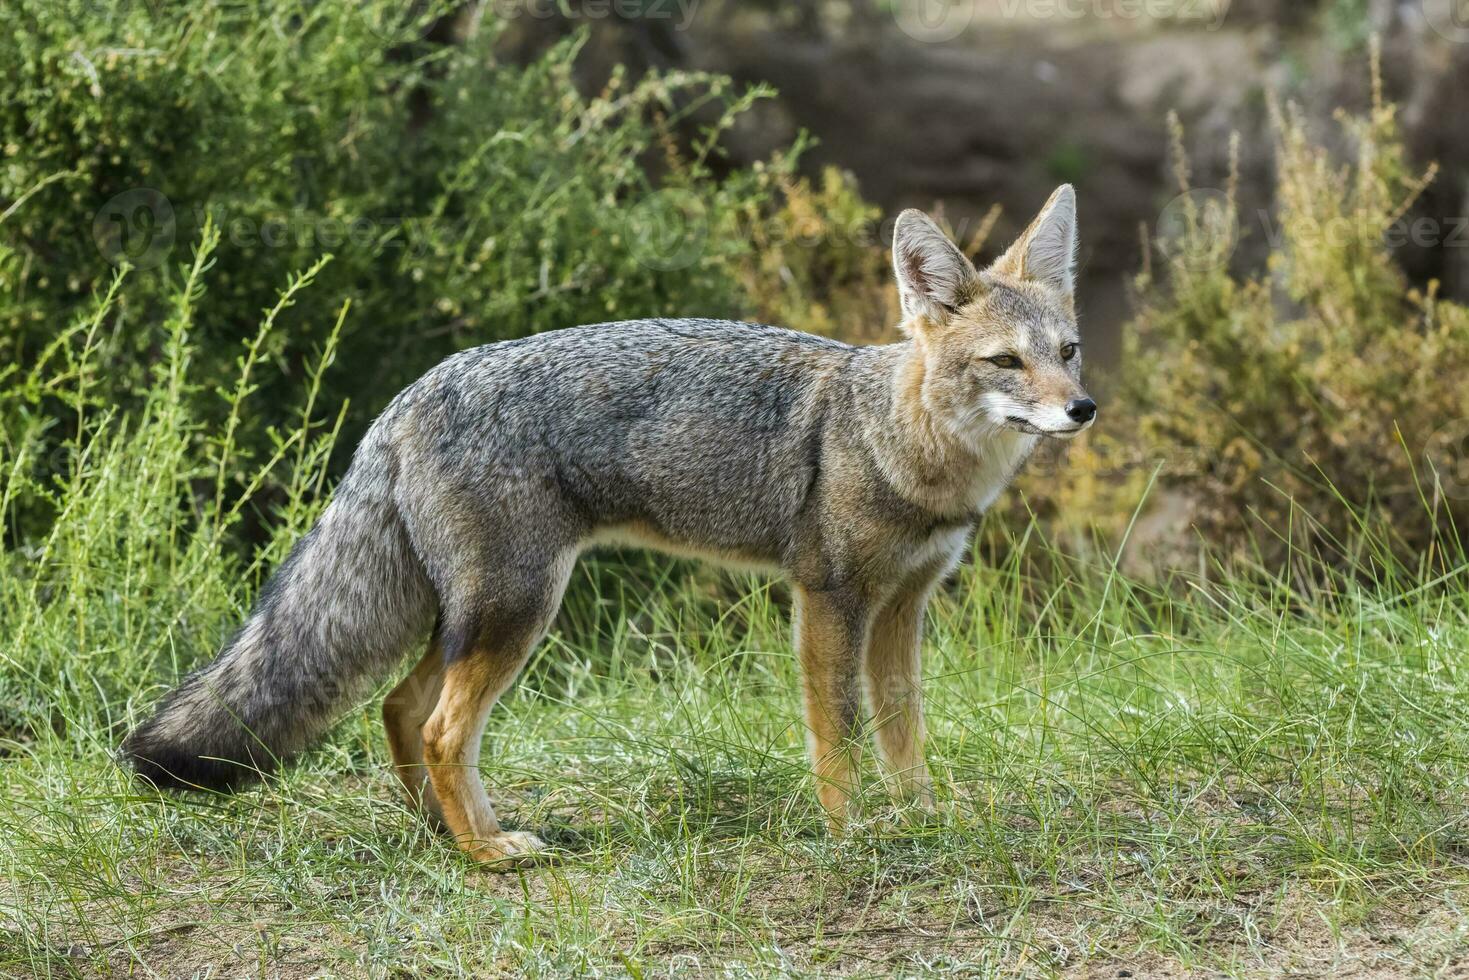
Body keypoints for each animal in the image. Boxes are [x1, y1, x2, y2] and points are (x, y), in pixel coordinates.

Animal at [123, 182, 1092, 858]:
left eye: (1067, 352)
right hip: (516, 610)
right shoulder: (829, 599)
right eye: (1004, 363)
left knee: (401, 708)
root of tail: (408, 395)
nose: (1082, 408)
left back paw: (443, 833)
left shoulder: (903, 607)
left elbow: (901, 729)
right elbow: (838, 730)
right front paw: (850, 830)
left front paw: (924, 815)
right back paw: (486, 852)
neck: (901, 444)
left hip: (479, 615)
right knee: (439, 727)